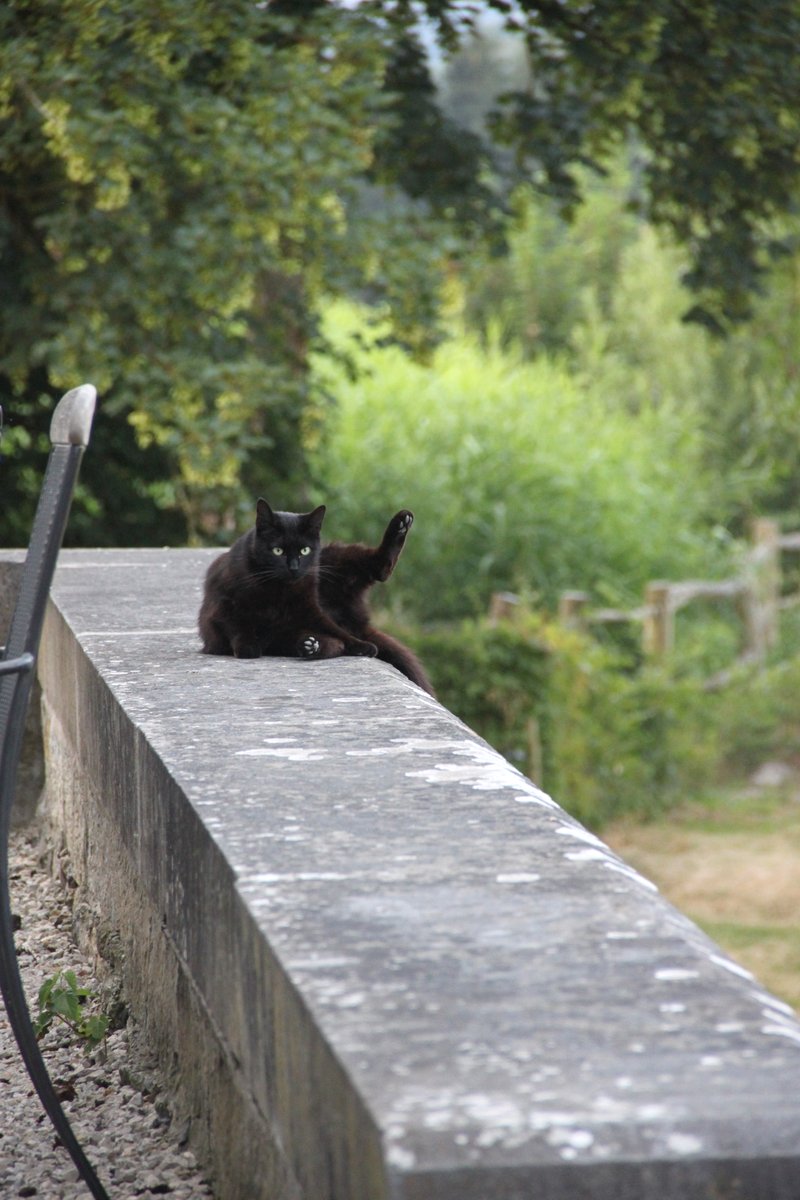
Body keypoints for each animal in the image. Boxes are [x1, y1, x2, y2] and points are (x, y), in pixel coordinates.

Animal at [197, 499, 434, 696]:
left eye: (304, 550)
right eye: (277, 550)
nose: (293, 567)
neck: (278, 591)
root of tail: (356, 622)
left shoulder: (309, 606)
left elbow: (332, 628)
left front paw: (362, 646)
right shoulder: (224, 604)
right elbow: (237, 625)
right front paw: (248, 647)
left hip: (335, 561)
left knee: (378, 569)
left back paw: (401, 523)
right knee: (329, 644)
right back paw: (311, 645)